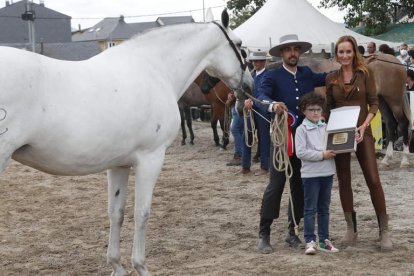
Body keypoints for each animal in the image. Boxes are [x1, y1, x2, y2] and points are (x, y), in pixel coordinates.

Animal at [0, 9, 252, 276]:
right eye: (239, 45)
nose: (249, 85)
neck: (154, 70)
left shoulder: (118, 164)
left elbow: (116, 213)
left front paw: (117, 265)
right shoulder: (150, 159)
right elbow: (142, 213)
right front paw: (141, 266)